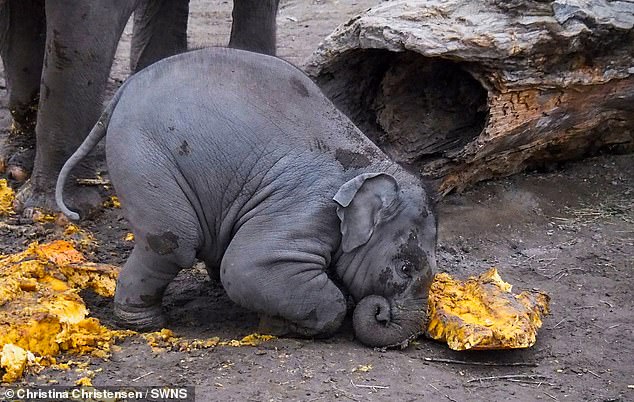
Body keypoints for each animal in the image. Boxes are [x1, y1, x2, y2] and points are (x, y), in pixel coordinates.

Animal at [56, 48, 434, 348]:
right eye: (405, 269)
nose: (382, 314)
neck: (370, 164)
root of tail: (124, 90)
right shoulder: (307, 209)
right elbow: (246, 267)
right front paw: (280, 326)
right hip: (143, 157)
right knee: (170, 243)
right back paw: (145, 324)